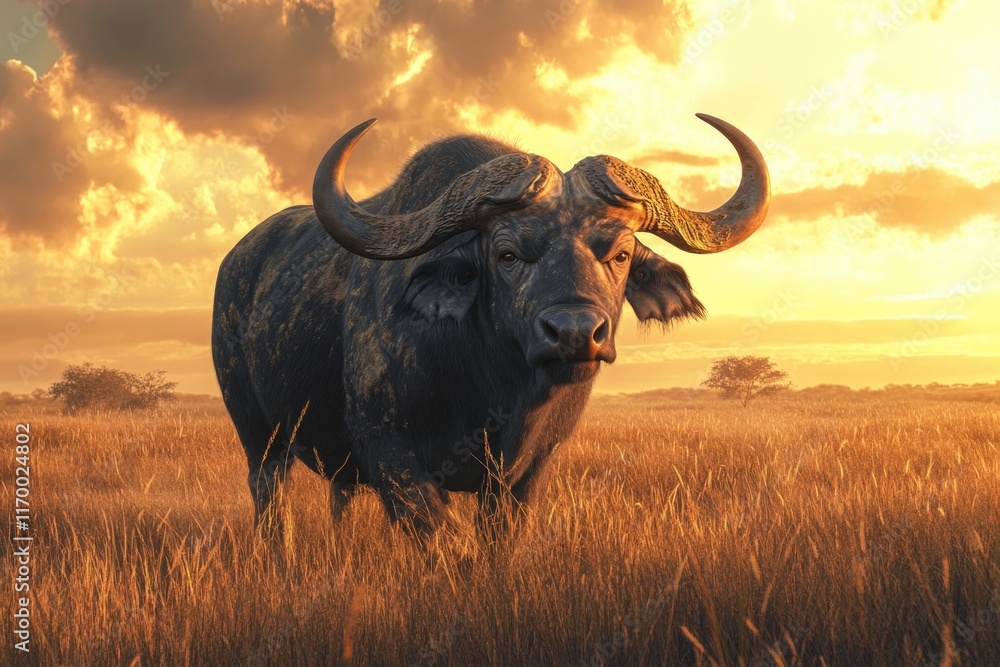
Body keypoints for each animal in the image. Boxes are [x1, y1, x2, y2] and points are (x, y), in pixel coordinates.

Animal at [211, 114, 769, 538]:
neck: (490, 387)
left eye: (621, 253)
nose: (574, 333)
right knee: (270, 497)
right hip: (259, 437)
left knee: (339, 496)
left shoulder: (526, 473)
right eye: (507, 254)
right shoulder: (393, 458)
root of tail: (236, 263)